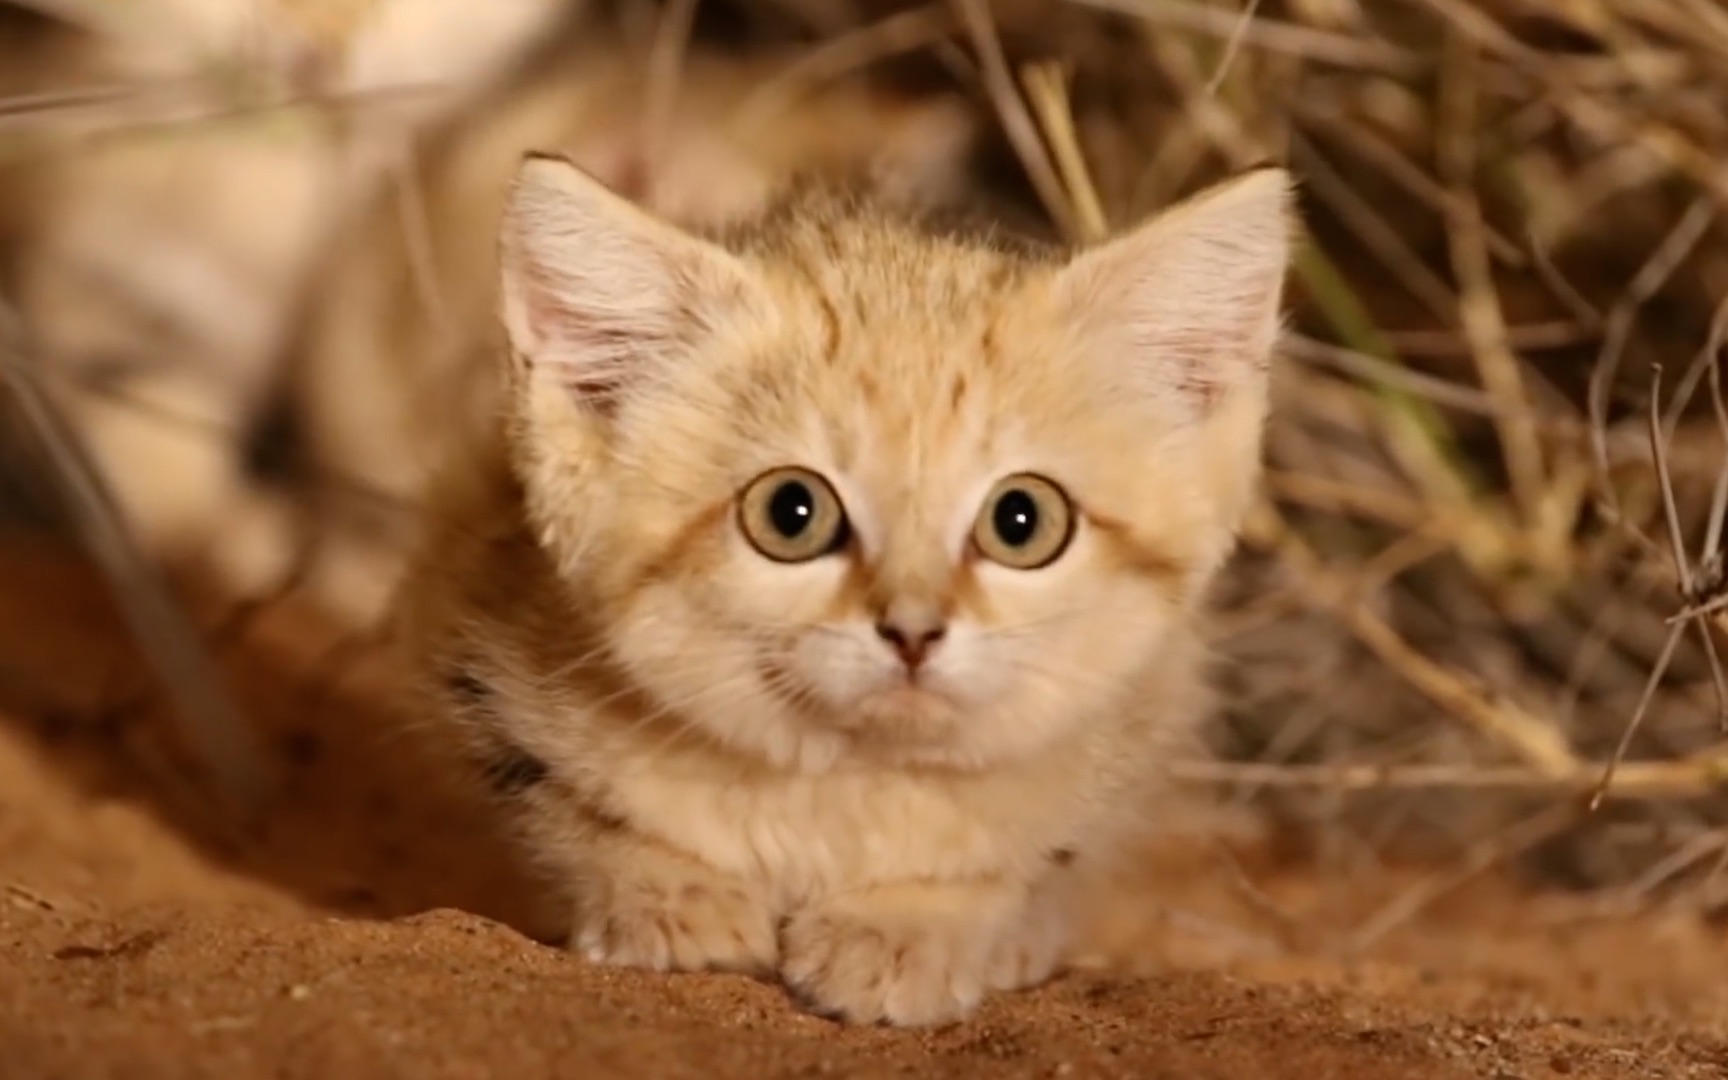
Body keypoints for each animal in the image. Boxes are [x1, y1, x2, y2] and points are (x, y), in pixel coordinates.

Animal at [388, 155, 1285, 1022]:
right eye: (792, 513)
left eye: (1022, 520)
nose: (914, 632)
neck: (843, 791)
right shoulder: (483, 664)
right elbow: (569, 817)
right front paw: (673, 900)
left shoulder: (1136, 729)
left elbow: (1022, 859)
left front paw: (909, 927)